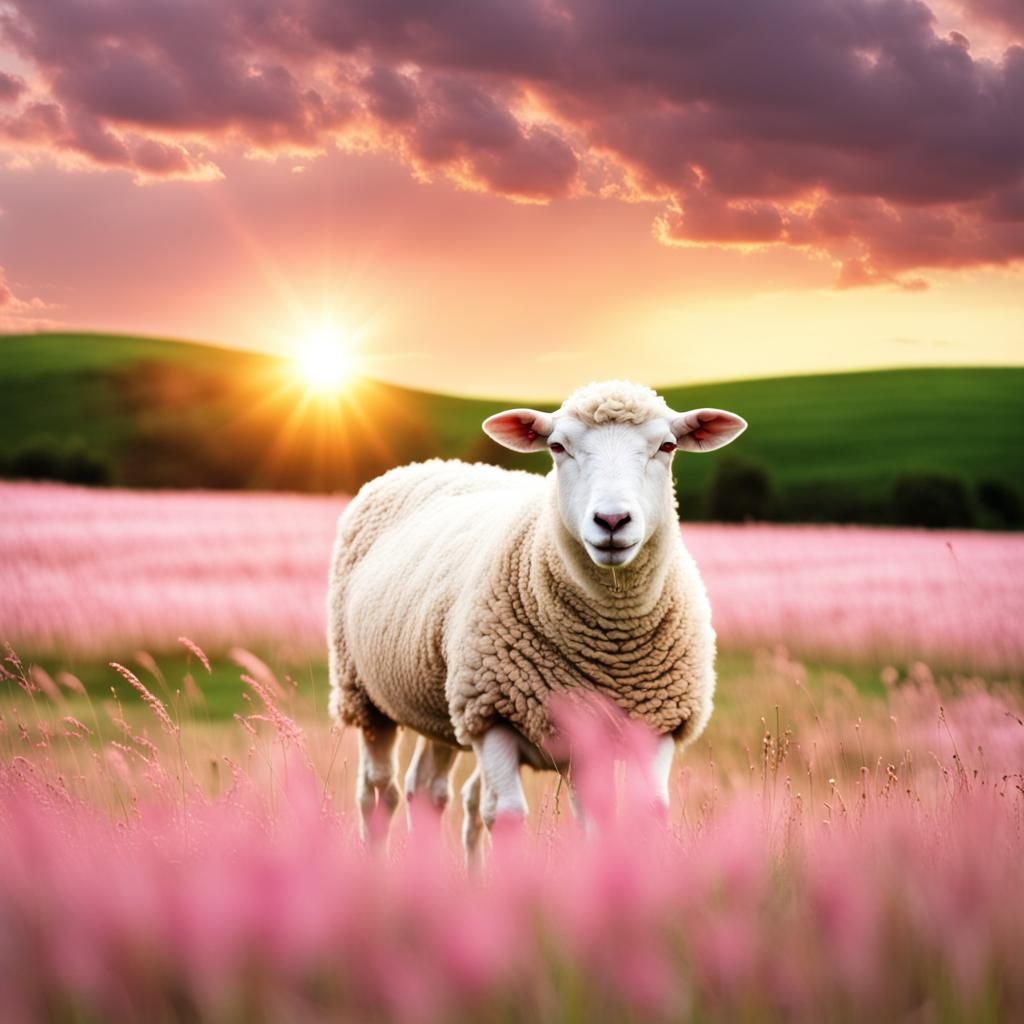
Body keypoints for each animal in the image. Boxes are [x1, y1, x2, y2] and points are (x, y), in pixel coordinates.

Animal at [327, 380, 747, 853]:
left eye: (668, 445)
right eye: (557, 446)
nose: (612, 520)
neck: (613, 645)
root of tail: (430, 464)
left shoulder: (652, 724)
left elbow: (633, 816)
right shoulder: (492, 713)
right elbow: (507, 817)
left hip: (443, 700)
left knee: (429, 789)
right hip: (366, 693)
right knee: (380, 790)